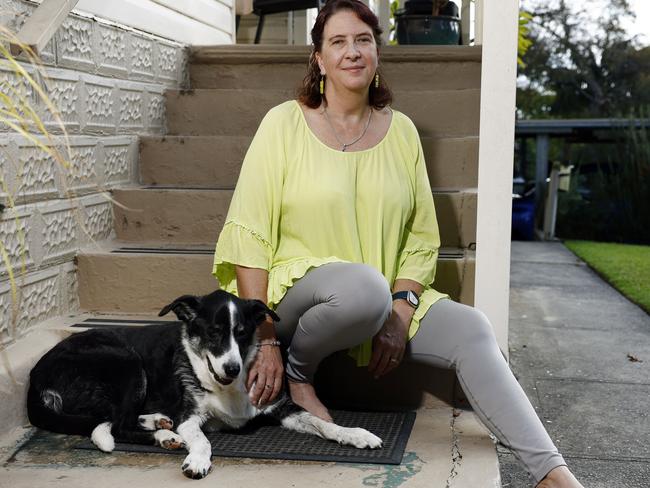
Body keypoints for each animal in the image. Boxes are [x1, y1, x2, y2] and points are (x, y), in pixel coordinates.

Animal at [27, 292, 382, 478]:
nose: (232, 367)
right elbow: (201, 439)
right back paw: (165, 435)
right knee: (119, 423)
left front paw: (357, 434)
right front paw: (197, 459)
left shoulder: (283, 408)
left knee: (120, 418)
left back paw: (158, 422)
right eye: (213, 333)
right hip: (126, 363)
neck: (227, 387)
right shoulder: (190, 417)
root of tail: (36, 377)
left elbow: (322, 423)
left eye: (242, 332)